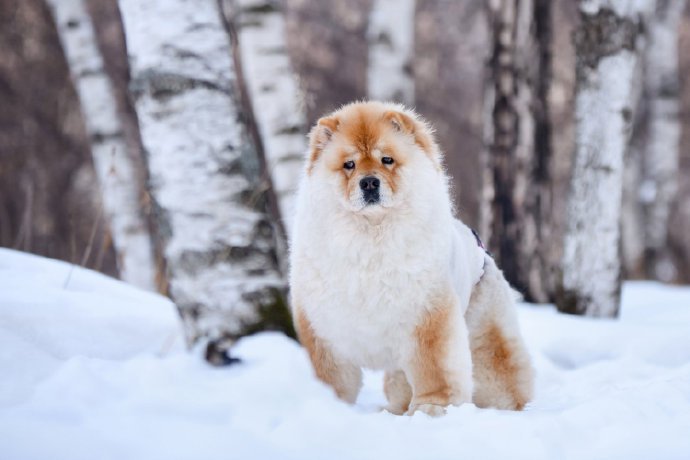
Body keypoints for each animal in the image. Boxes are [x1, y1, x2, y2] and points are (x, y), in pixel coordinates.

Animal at [284, 101, 532, 416]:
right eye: (349, 165)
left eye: (387, 160)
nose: (369, 183)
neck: (371, 235)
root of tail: (479, 244)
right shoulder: (323, 326)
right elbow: (331, 377)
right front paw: (327, 406)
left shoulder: (427, 315)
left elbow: (434, 369)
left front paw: (431, 409)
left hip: (483, 333)